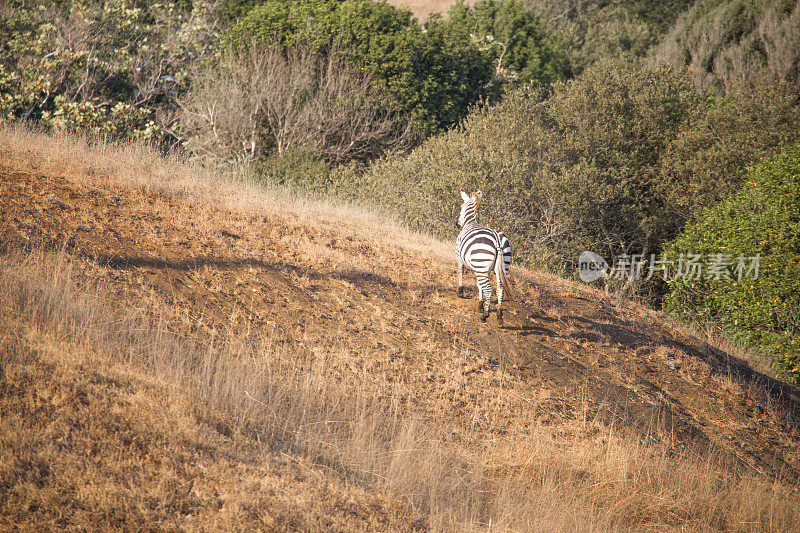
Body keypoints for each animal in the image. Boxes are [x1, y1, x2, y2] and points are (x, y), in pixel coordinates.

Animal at [456, 191, 512, 324]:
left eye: (461, 207)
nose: (457, 224)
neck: (471, 222)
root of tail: (497, 238)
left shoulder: (458, 256)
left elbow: (460, 272)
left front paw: (460, 292)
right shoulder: (479, 268)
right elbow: (478, 284)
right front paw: (480, 304)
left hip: (481, 264)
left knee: (489, 289)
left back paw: (485, 316)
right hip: (502, 267)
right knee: (500, 290)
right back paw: (499, 315)